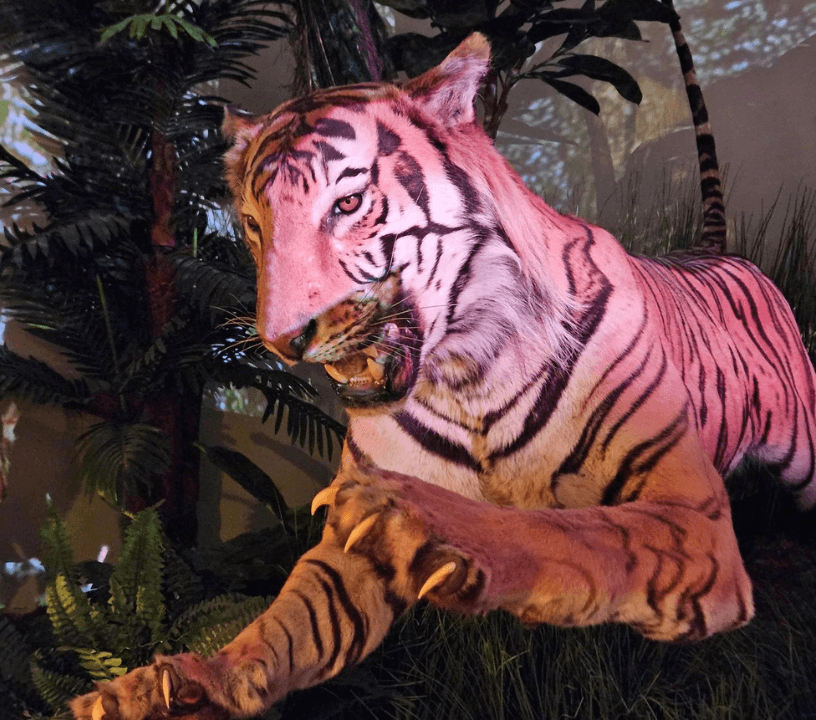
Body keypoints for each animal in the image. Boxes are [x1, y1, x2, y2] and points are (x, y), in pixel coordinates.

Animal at [71, 28, 816, 720]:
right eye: (254, 227)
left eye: (346, 206)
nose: (284, 342)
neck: (467, 372)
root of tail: (719, 252)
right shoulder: (341, 559)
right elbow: (283, 628)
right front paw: (170, 688)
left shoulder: (692, 515)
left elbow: (575, 531)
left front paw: (426, 525)